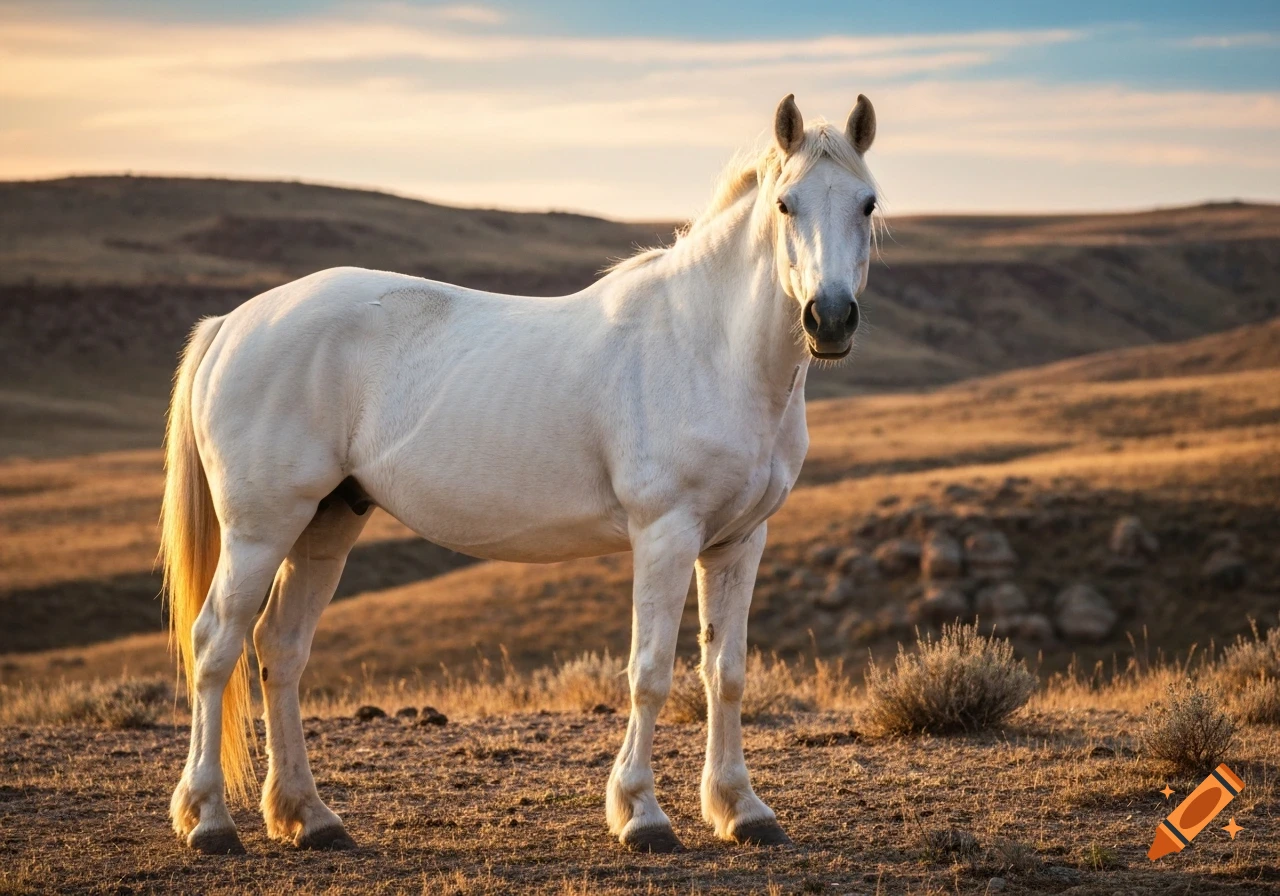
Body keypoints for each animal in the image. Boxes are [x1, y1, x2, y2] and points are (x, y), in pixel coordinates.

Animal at [162, 92, 880, 855]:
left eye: (866, 203)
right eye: (785, 204)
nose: (830, 319)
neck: (708, 345)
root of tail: (234, 322)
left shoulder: (738, 541)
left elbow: (727, 673)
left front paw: (742, 809)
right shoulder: (666, 533)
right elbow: (650, 674)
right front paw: (641, 814)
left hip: (327, 523)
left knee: (281, 649)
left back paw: (310, 816)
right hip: (261, 529)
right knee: (216, 644)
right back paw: (209, 819)